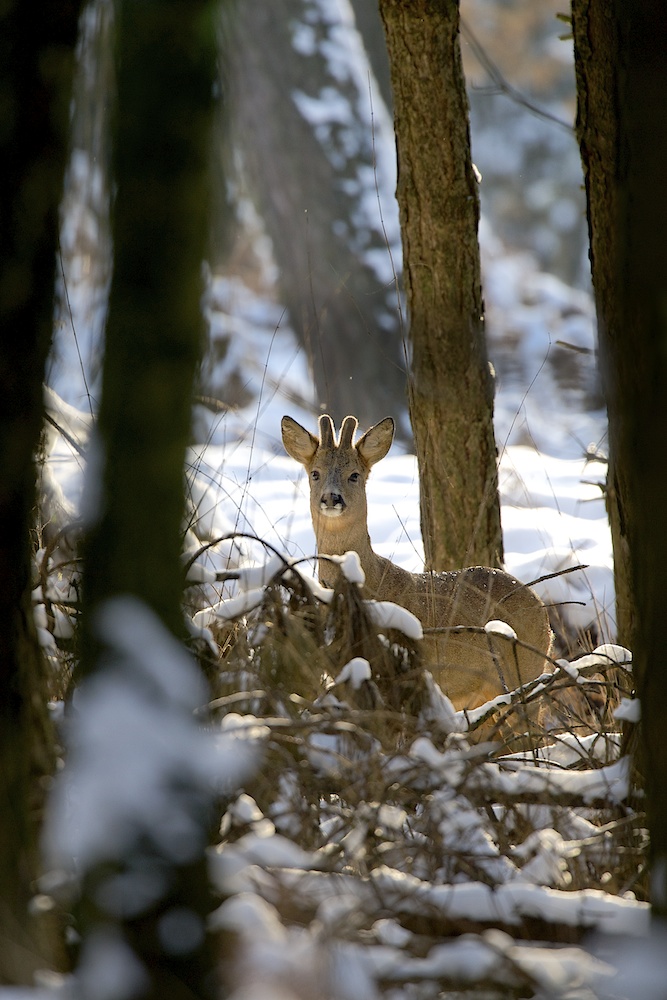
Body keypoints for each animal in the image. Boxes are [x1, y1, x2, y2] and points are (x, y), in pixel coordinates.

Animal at [282, 412, 552, 712]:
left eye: (354, 474)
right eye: (315, 473)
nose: (331, 497)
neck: (371, 581)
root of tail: (543, 611)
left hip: (523, 672)